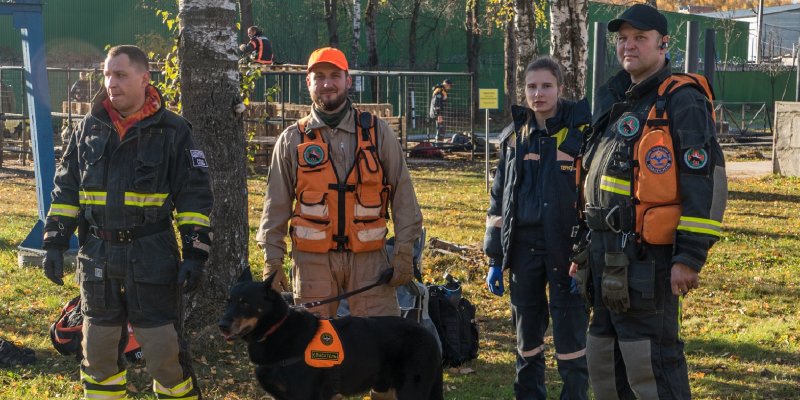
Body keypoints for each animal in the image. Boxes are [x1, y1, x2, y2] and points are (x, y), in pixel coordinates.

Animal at [218, 271, 444, 400]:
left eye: (245, 303)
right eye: (228, 301)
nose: (222, 326)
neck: (276, 328)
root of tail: (429, 335)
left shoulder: (303, 395)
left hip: (411, 390)